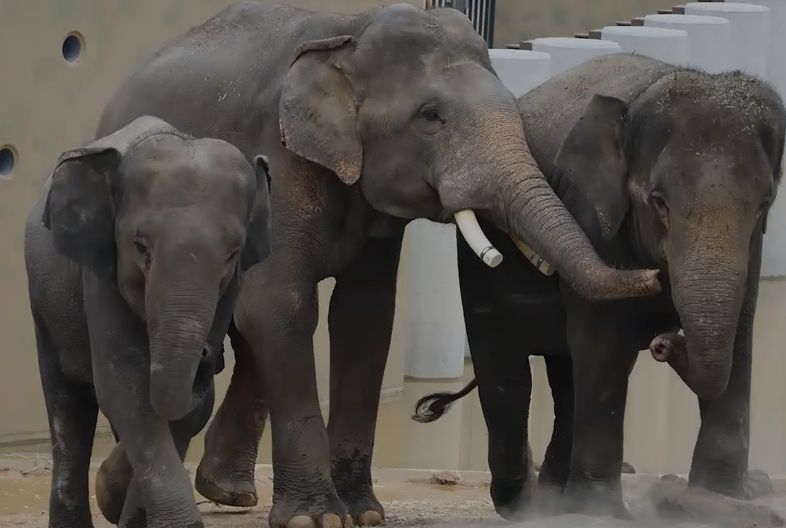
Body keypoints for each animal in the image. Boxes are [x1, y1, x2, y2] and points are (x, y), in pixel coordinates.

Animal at [24, 116, 272, 528]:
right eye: (140, 247)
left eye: (232, 255)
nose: (209, 354)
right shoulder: (100, 270)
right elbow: (125, 387)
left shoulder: (229, 290)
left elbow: (169, 408)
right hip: (44, 308)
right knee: (67, 407)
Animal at [93, 4, 662, 527]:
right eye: (430, 116)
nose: (656, 276)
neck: (352, 31)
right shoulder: (277, 159)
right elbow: (281, 304)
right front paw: (316, 519)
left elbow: (364, 317)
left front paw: (364, 514)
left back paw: (223, 493)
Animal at [413, 54, 786, 520]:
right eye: (659, 202)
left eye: (764, 205)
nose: (664, 341)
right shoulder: (590, 214)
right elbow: (604, 343)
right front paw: (600, 511)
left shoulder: (752, 248)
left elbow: (739, 335)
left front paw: (721, 496)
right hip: (481, 262)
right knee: (508, 372)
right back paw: (527, 505)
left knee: (566, 376)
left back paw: (554, 499)